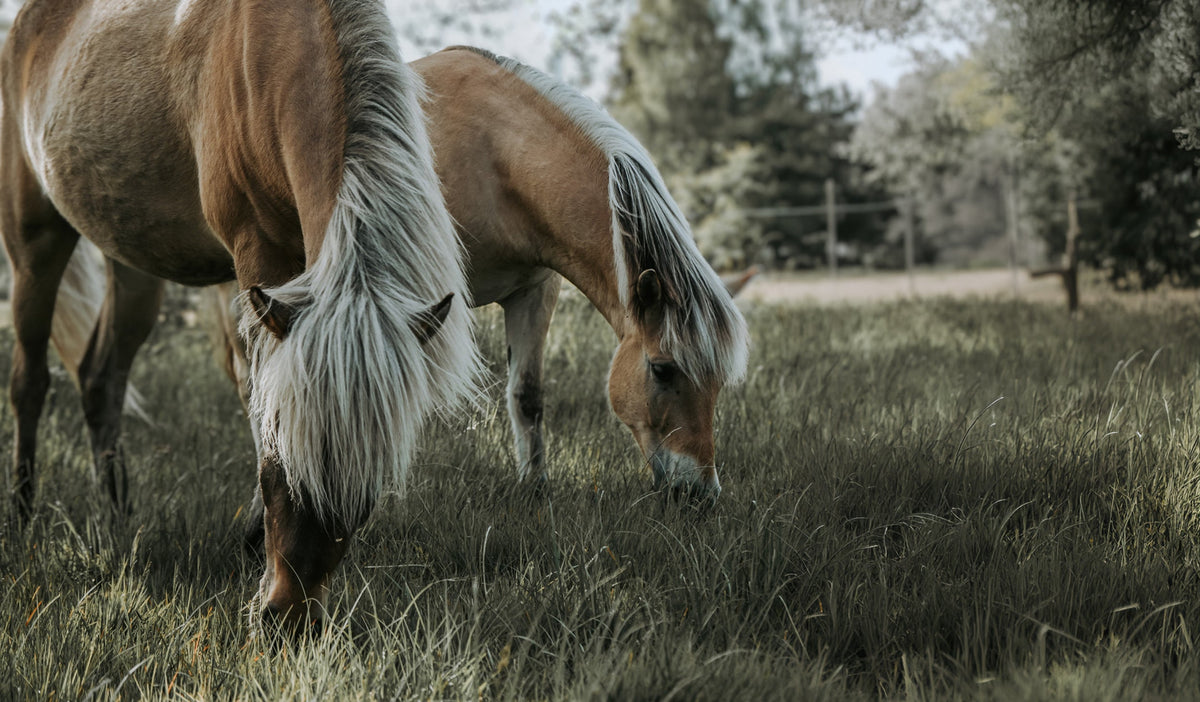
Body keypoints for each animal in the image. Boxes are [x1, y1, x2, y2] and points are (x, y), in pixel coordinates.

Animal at [1, 0, 478, 632]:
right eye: (281, 470)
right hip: (34, 244)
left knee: (101, 380)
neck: (278, 55)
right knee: (29, 381)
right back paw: (22, 518)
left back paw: (120, 516)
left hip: (132, 265)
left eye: (368, 488)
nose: (289, 618)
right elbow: (258, 393)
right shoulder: (258, 256)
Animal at [189, 46, 749, 531]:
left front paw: (534, 489)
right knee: (256, 385)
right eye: (662, 370)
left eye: (719, 382)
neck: (495, 153)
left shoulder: (533, 291)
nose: (701, 494)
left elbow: (527, 395)